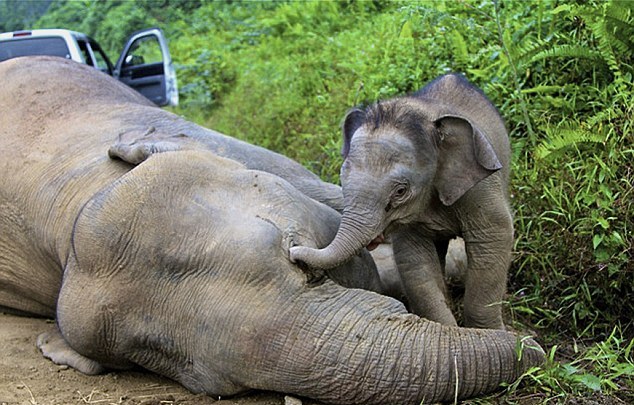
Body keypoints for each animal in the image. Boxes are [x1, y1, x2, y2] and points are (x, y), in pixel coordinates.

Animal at [292, 74, 512, 330]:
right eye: (341, 179)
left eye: (400, 191)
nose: (293, 253)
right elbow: (415, 260)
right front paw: (447, 329)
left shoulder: (480, 187)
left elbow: (493, 238)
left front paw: (489, 332)